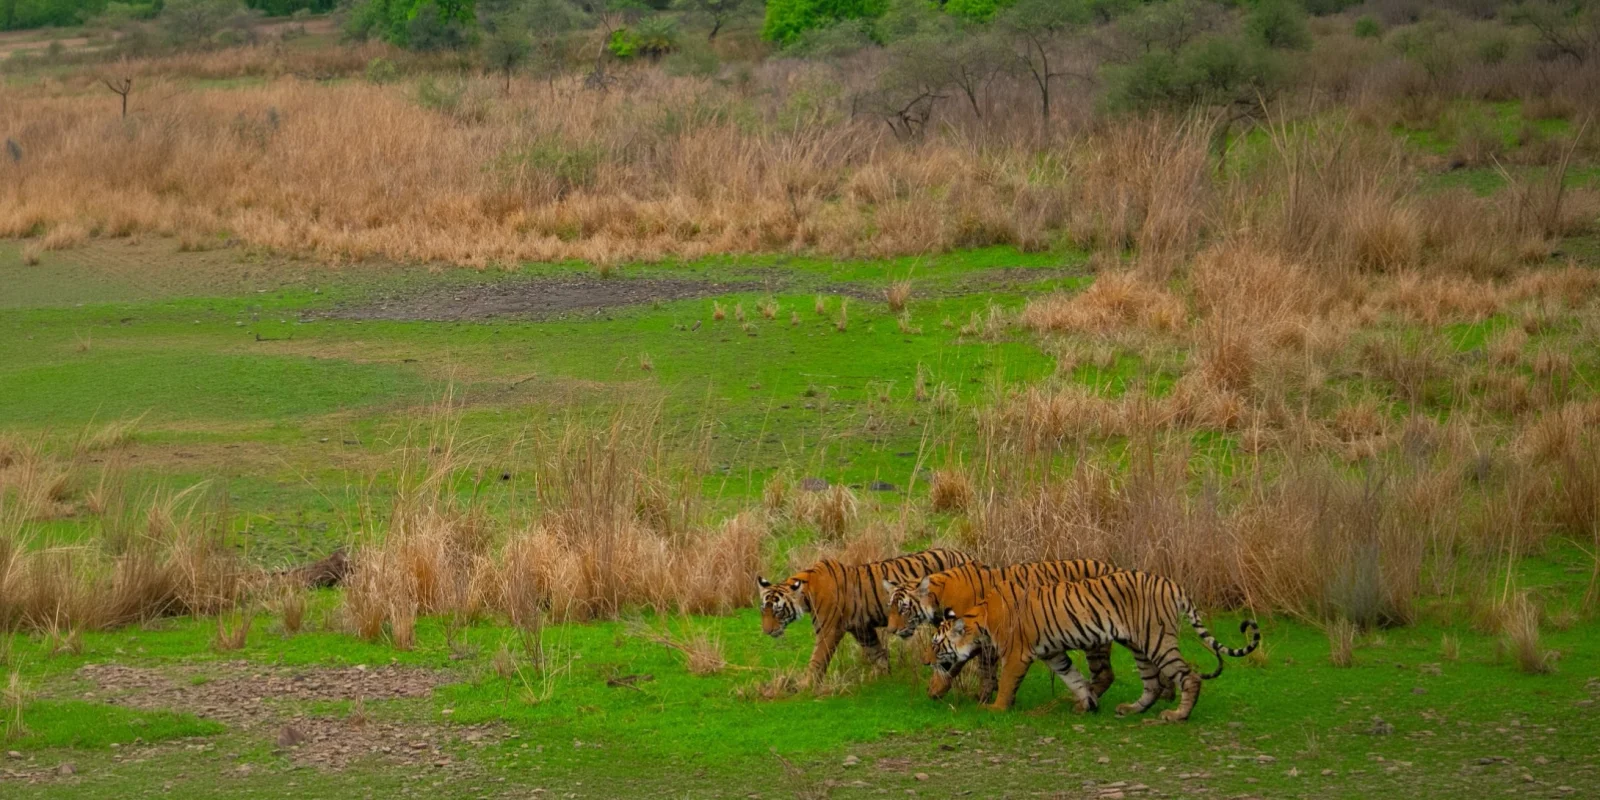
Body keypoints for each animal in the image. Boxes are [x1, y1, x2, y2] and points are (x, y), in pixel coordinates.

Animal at [757, 547, 972, 685]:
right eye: (763, 610)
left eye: (777, 611)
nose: (766, 631)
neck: (807, 592)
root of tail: (965, 554)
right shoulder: (861, 628)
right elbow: (877, 652)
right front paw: (884, 676)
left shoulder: (829, 630)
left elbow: (817, 659)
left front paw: (806, 685)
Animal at [879, 559, 1122, 702]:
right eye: (890, 607)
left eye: (904, 608)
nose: (891, 630)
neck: (938, 598)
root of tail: (1114, 567)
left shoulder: (974, 638)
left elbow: (963, 666)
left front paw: (940, 689)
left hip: (1093, 637)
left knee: (1105, 674)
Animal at [928, 569, 1260, 721]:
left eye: (937, 646)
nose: (926, 662)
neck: (980, 619)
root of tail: (1172, 583)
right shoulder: (1055, 653)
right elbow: (1074, 678)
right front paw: (1087, 703)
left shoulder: (1016, 654)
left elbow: (1008, 683)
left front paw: (995, 708)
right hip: (1139, 645)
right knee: (1152, 683)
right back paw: (1132, 709)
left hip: (1156, 639)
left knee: (1188, 676)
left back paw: (1178, 715)